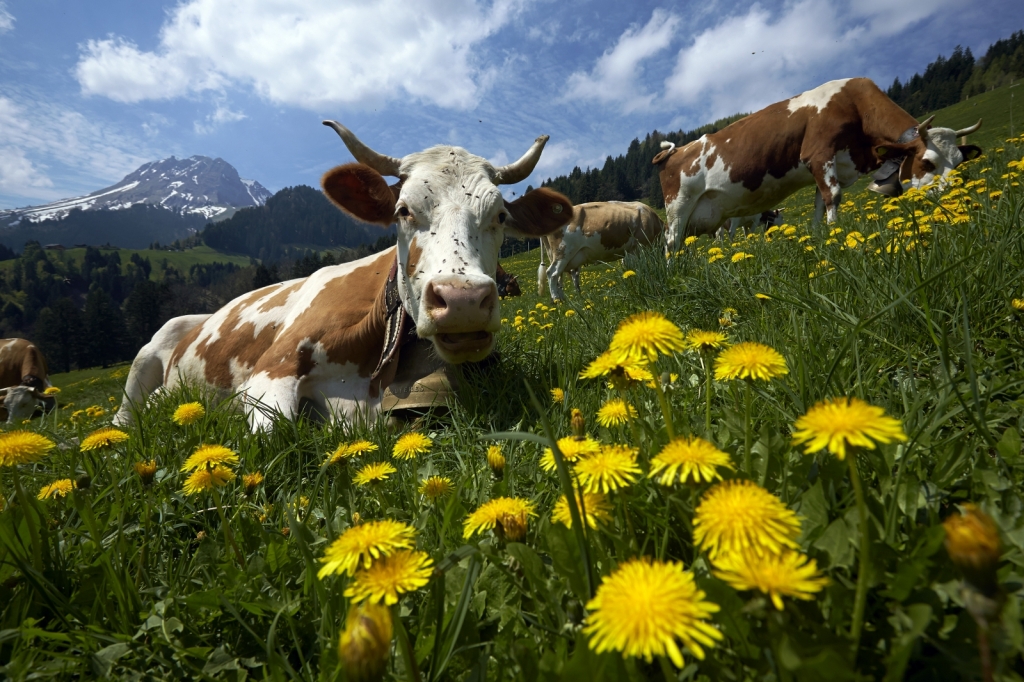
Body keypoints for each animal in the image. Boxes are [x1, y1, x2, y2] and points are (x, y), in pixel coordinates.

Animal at [655, 76, 983, 251]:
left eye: (959, 162)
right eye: (927, 162)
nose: (950, 196)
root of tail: (675, 151)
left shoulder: (828, 166)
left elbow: (818, 204)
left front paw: (818, 235)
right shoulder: (819, 152)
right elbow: (833, 197)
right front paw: (836, 234)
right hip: (678, 206)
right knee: (671, 242)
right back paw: (675, 273)